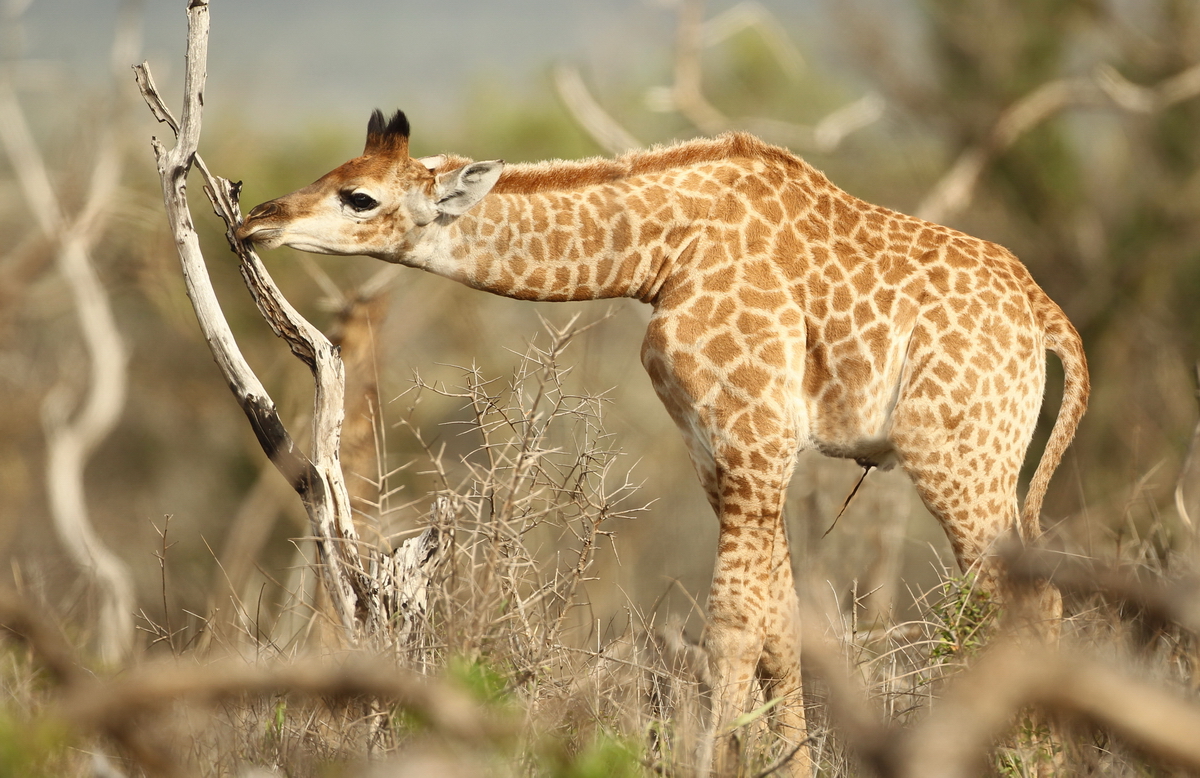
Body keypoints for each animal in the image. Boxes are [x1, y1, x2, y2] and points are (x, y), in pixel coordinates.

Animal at [235, 109, 1089, 775]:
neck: (661, 254)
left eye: (360, 197)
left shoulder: (754, 437)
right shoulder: (720, 449)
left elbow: (734, 625)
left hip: (956, 455)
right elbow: (781, 623)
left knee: (1027, 600)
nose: (256, 219)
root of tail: (1050, 321)